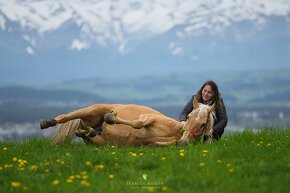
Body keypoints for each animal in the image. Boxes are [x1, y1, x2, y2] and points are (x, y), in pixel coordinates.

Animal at [39, 97, 214, 146]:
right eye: (189, 117)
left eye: (203, 124)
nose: (184, 142)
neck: (175, 131)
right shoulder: (148, 118)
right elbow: (139, 124)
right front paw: (110, 117)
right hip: (94, 110)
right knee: (64, 117)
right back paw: (47, 122)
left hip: (102, 141)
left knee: (86, 134)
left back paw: (87, 131)